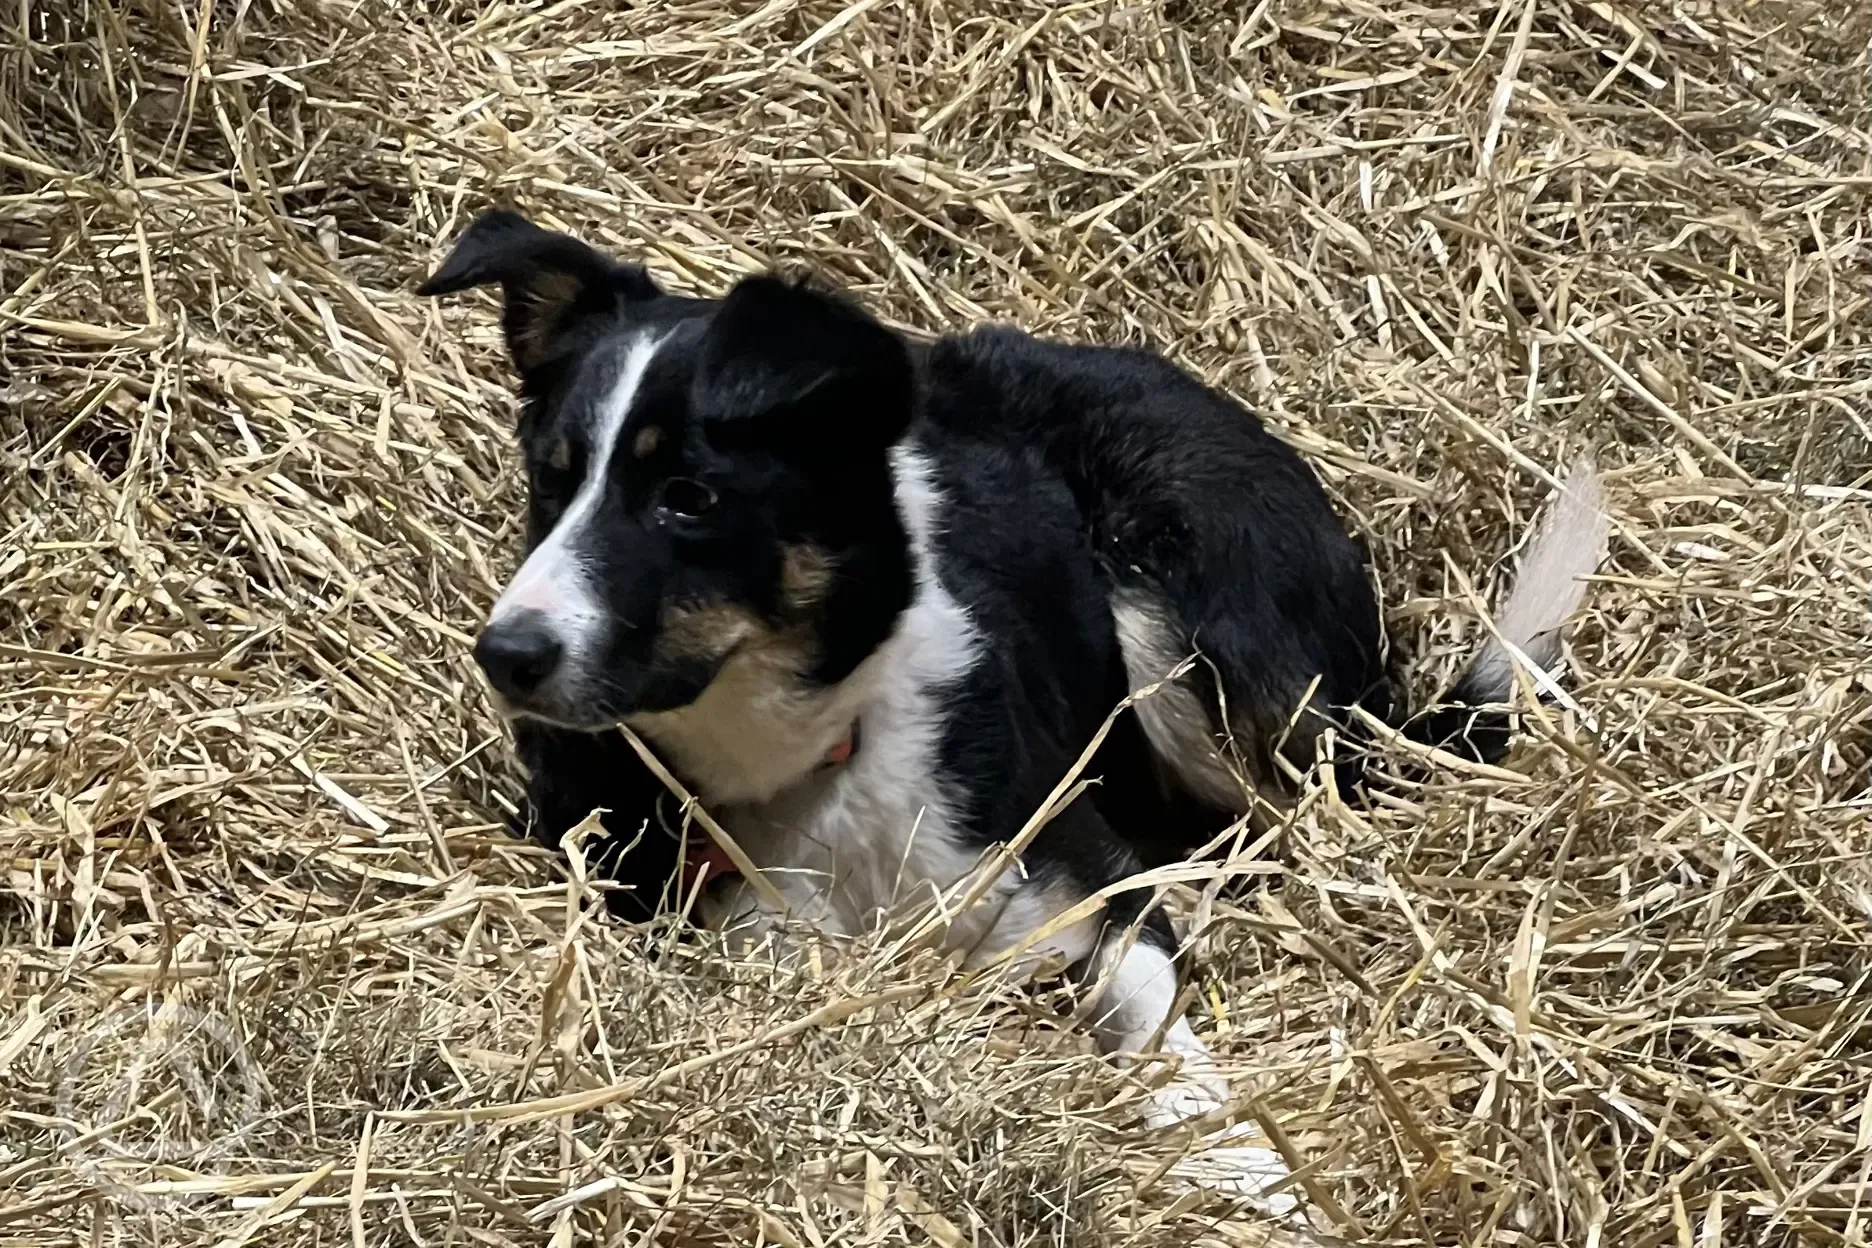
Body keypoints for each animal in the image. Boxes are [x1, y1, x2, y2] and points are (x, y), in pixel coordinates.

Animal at [421, 209, 1609, 1204]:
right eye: (550, 479)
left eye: (688, 498)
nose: (506, 655)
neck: (829, 754)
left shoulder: (1090, 884)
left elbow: (1165, 1038)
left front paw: (1247, 1165)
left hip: (1175, 626)